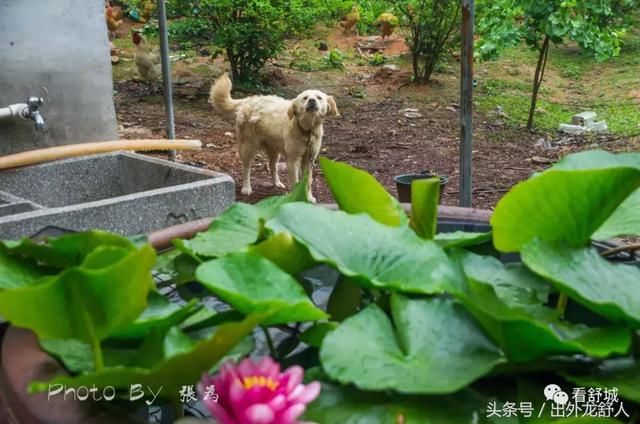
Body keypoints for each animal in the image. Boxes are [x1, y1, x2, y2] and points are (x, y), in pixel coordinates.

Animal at [210, 73, 340, 202]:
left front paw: (308, 198)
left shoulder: (308, 160)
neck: (306, 130)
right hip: (248, 147)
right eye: (305, 98)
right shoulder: (292, 160)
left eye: (319, 97)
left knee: (273, 167)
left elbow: (308, 182)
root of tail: (250, 99)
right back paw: (246, 188)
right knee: (246, 168)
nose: (312, 100)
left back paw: (277, 183)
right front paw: (296, 198)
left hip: (274, 150)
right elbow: (295, 182)